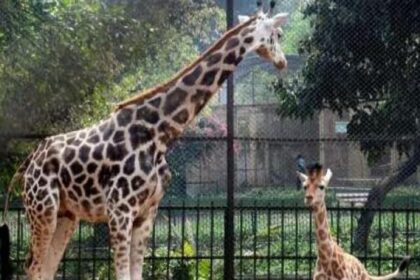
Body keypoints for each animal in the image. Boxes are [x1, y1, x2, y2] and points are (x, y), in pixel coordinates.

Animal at [0, 4, 288, 280]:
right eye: (278, 35)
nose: (283, 61)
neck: (159, 135)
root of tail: (30, 161)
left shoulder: (147, 212)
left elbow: (137, 272)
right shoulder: (120, 210)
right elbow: (122, 274)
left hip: (66, 215)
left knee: (46, 268)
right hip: (42, 209)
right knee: (33, 266)